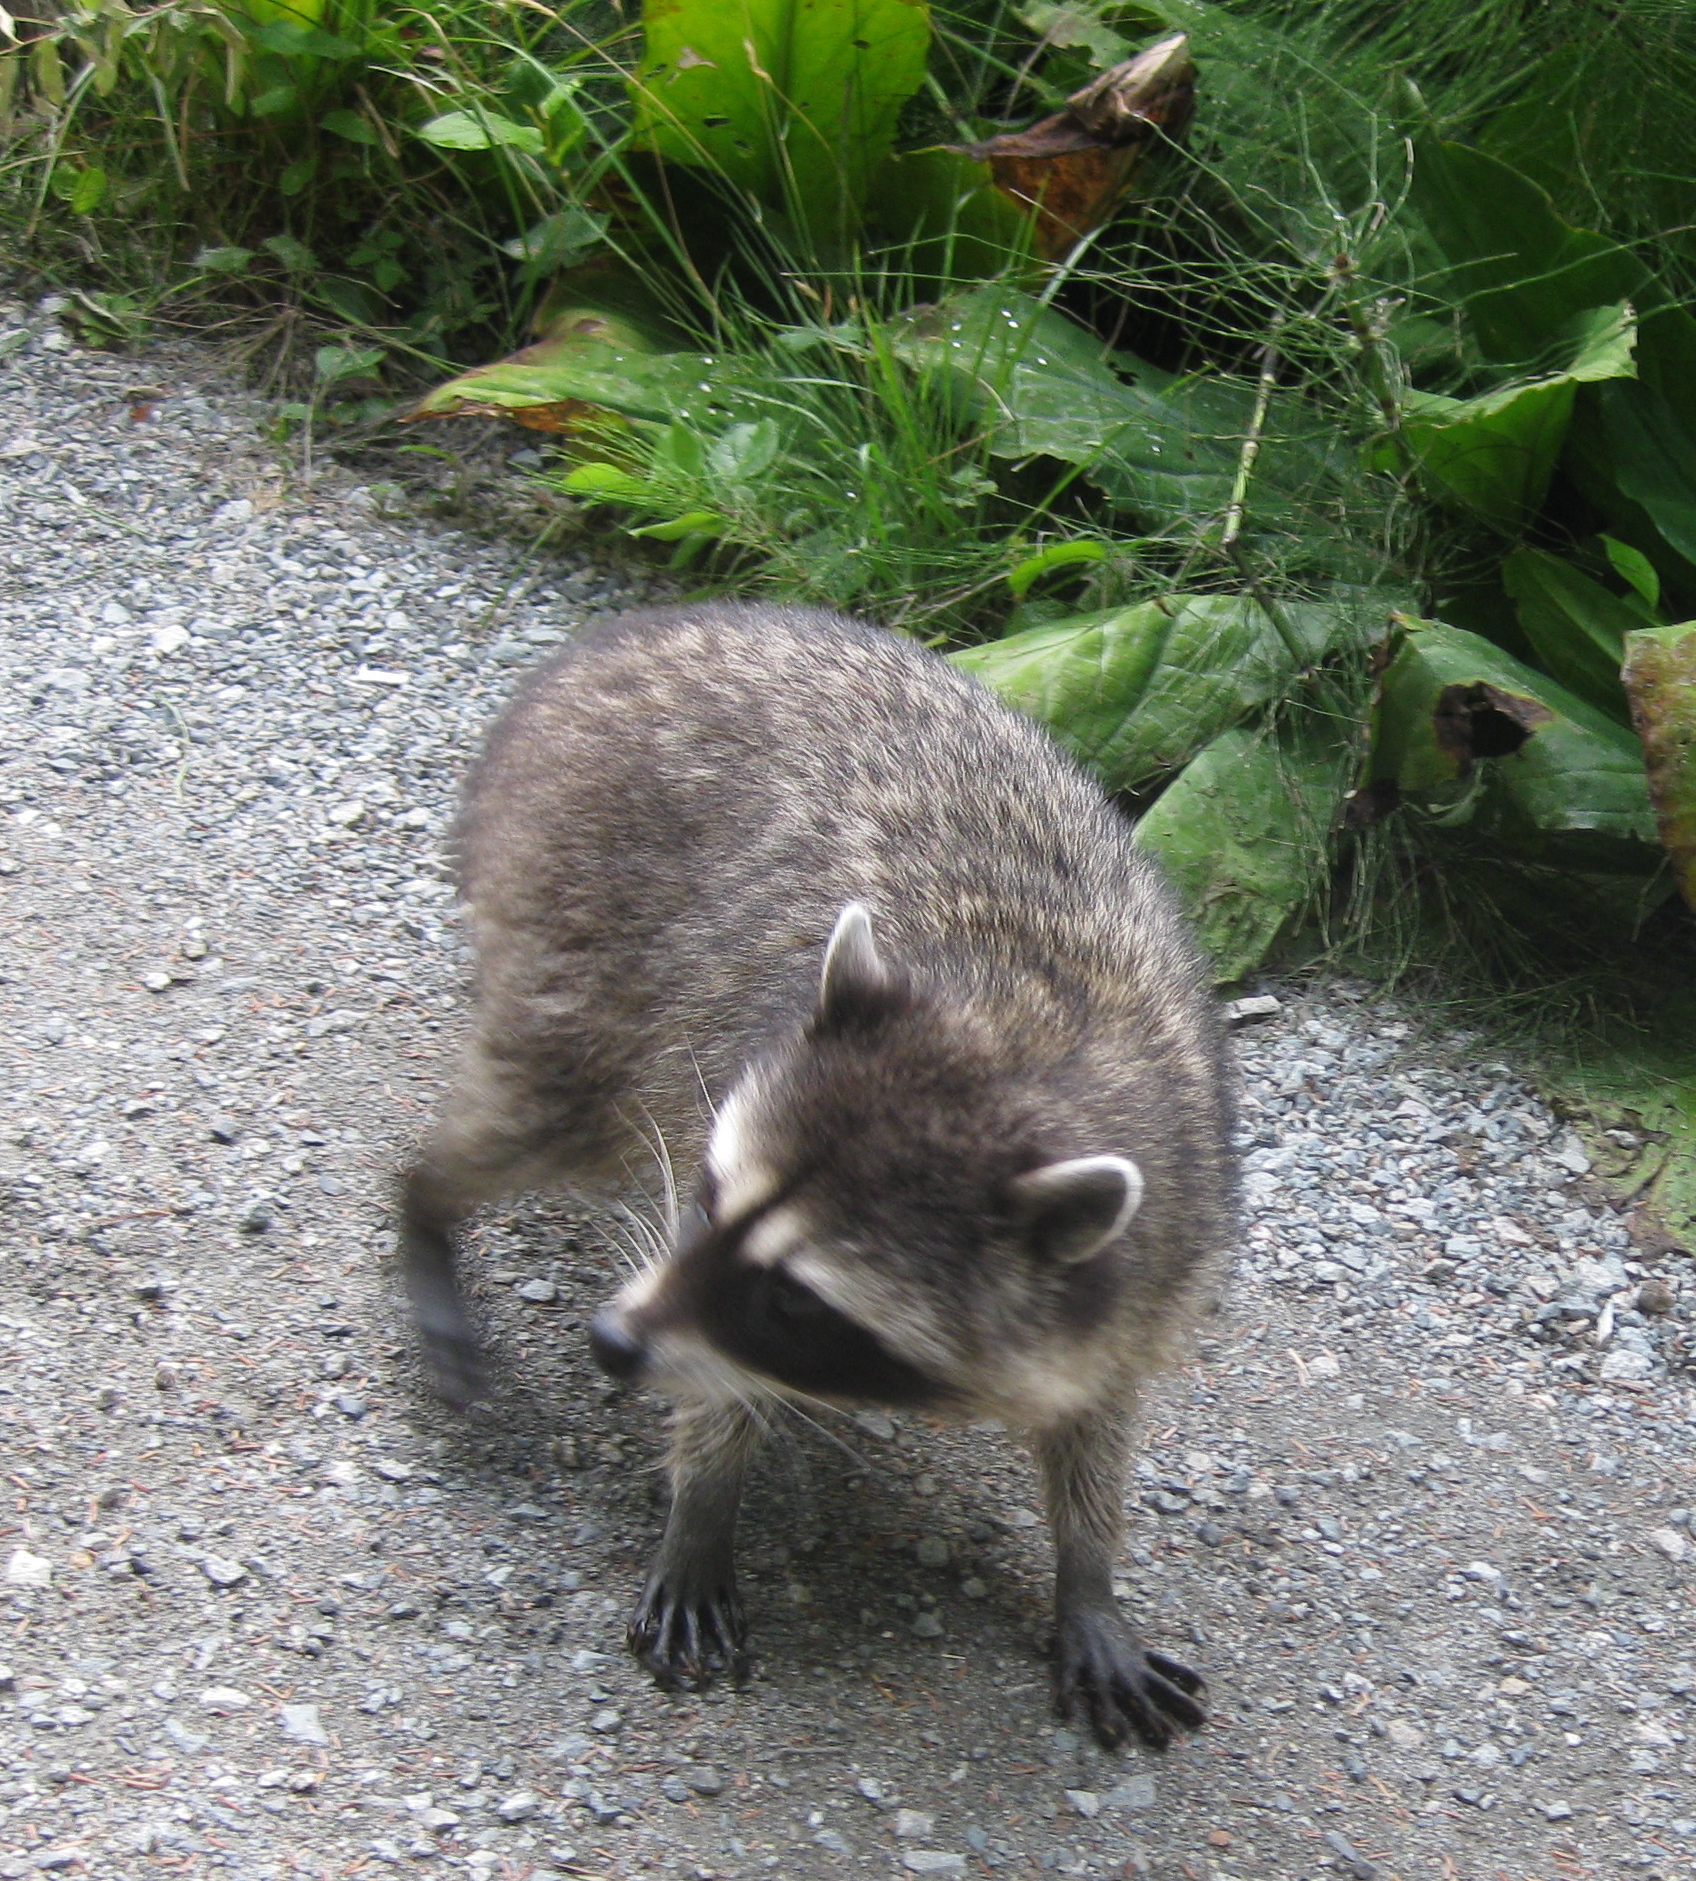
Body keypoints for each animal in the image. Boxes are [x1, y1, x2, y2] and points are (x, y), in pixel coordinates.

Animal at [404, 598, 1240, 1745]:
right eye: (710, 1198)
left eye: (796, 1300)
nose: (610, 1341)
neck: (1022, 1053)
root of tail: (632, 637)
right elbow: (715, 1385)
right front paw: (702, 1503)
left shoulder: (1158, 1254)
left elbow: (1096, 1412)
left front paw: (1087, 1568)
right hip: (578, 917)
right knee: (536, 1104)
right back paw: (423, 1207)